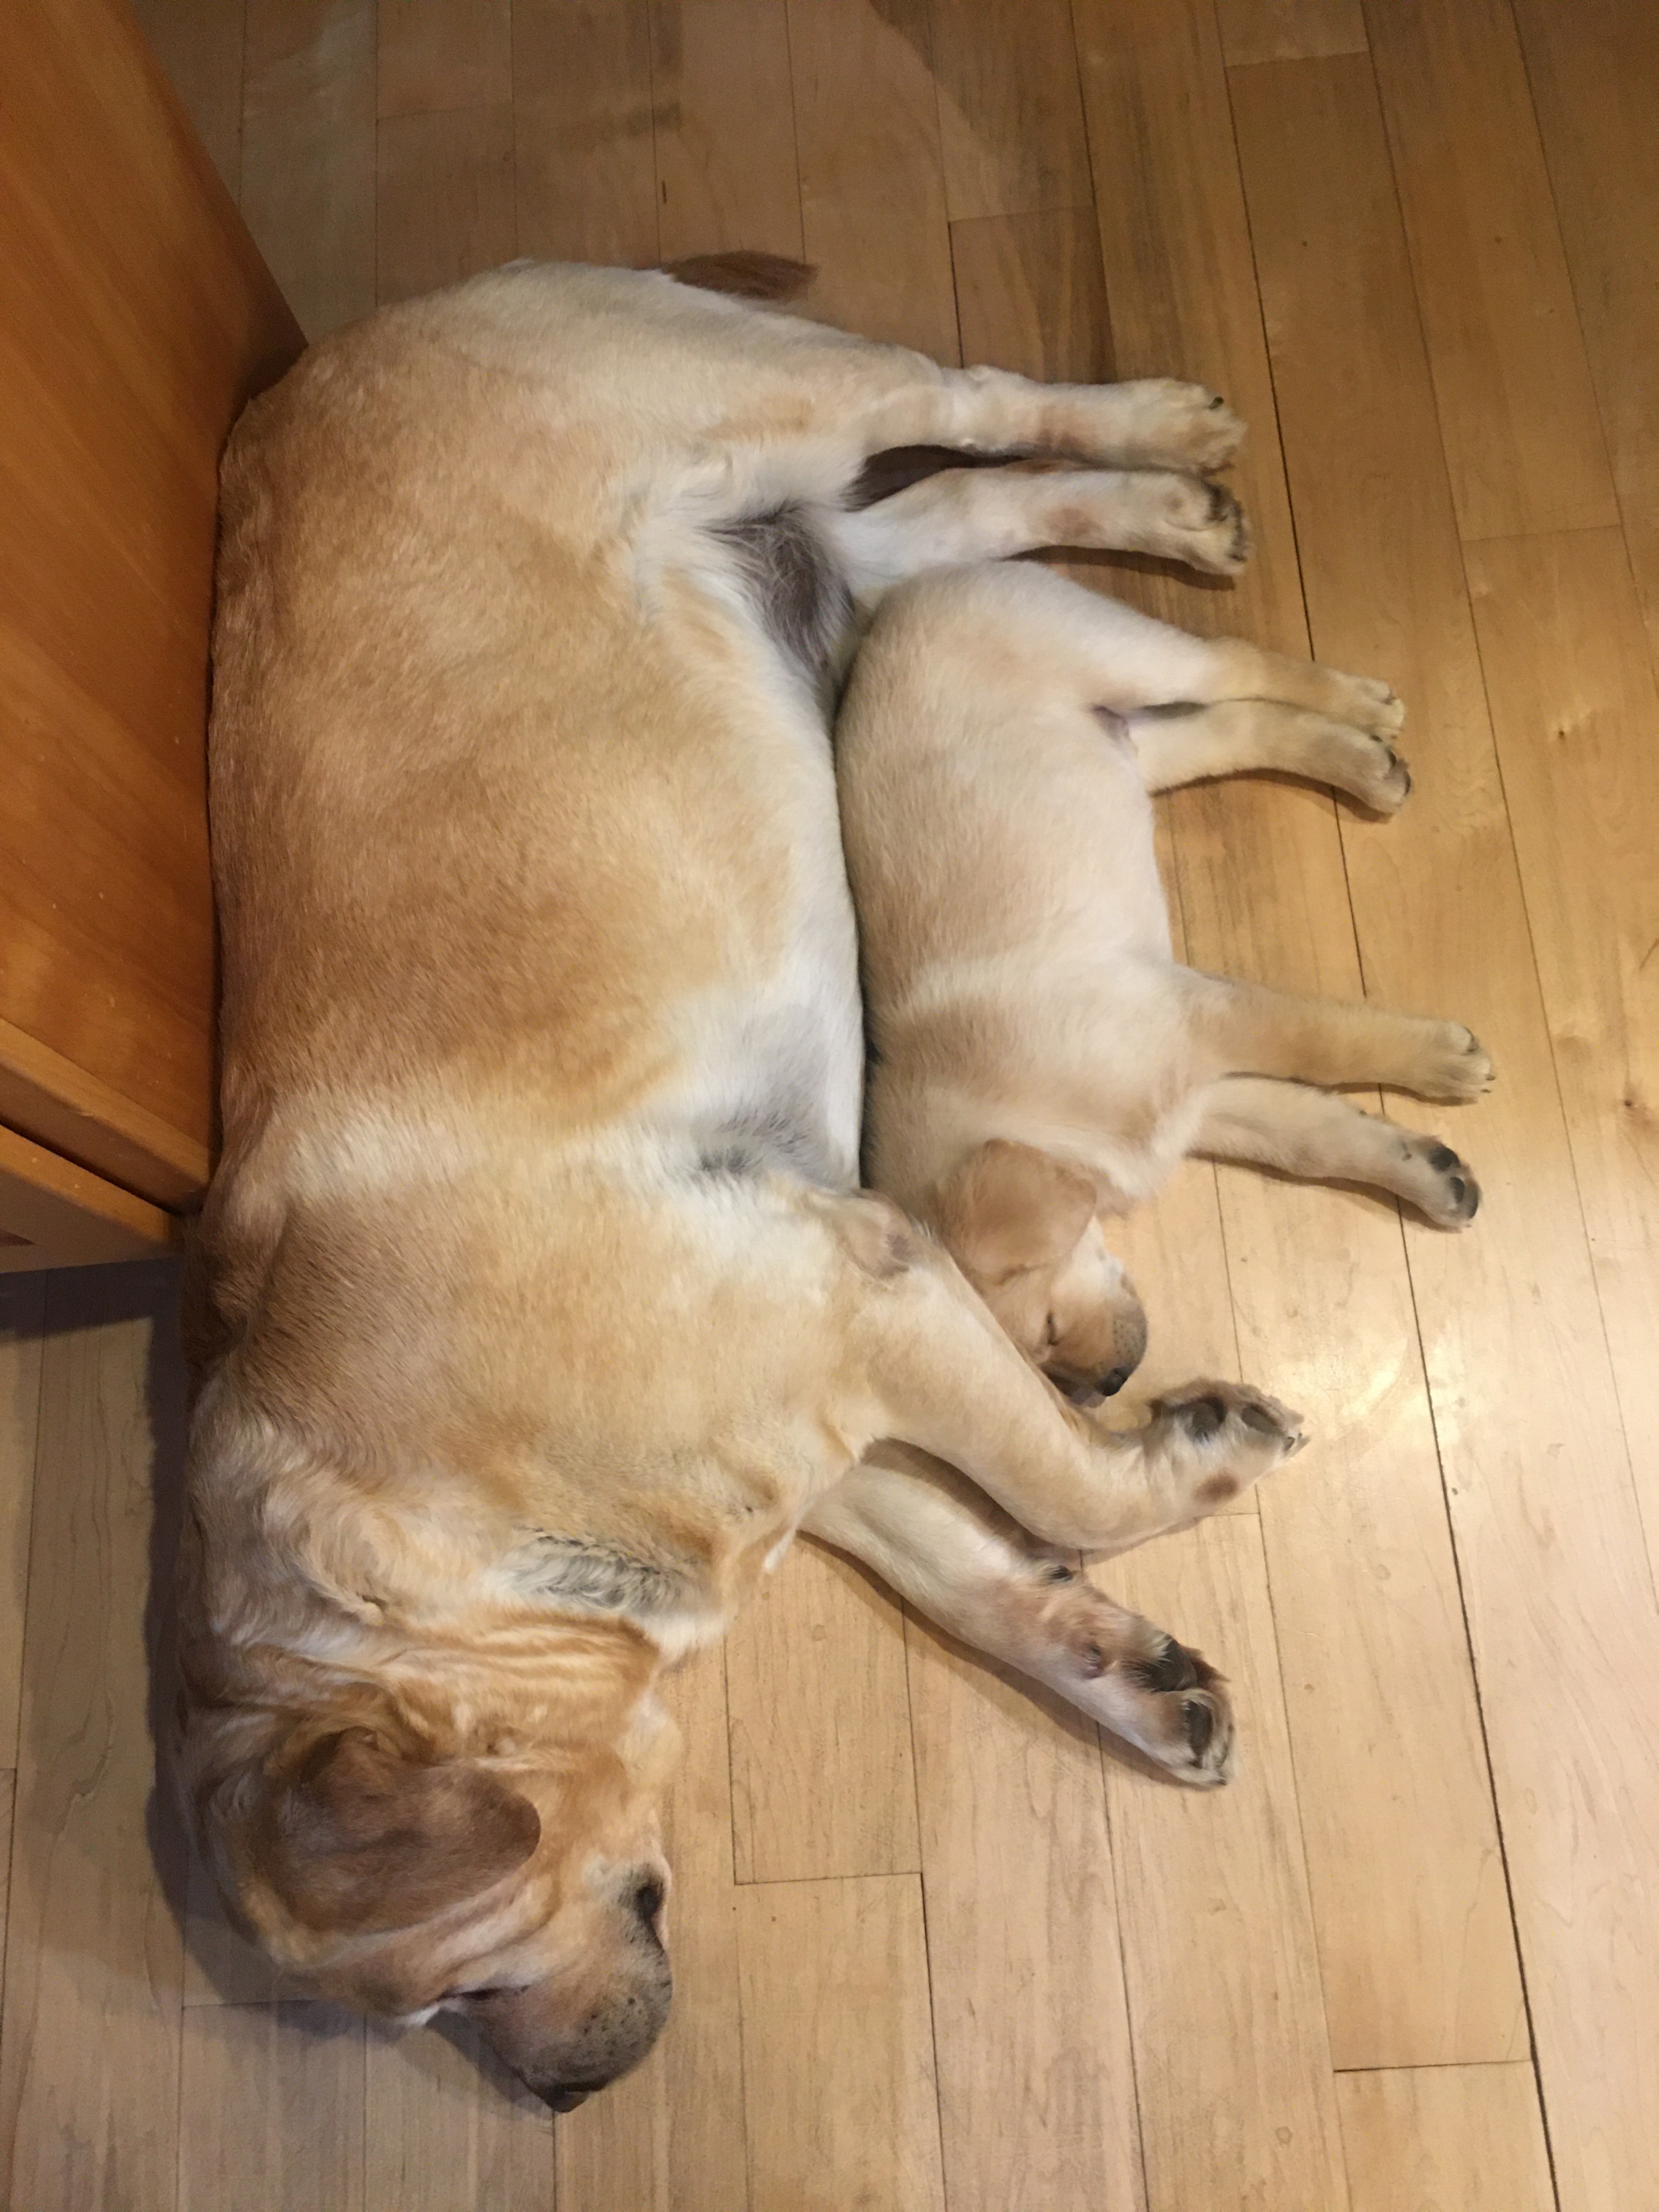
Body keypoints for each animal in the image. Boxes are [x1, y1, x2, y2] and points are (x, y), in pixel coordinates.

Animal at [180, 259, 1307, 2112]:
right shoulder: (813, 1434)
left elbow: (1065, 1489)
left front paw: (1189, 1459)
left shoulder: (865, 1304)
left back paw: (1165, 432)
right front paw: (1128, 1678)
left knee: (978, 400)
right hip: (822, 560)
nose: (563, 2098)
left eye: (455, 1989)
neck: (444, 1525)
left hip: (779, 400)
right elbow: (985, 1566)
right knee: (957, 513)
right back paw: (1166, 514)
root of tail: (349, 339)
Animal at [838, 558, 1492, 1413]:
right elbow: (1312, 1138)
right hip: (1127, 746)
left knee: (1232, 664)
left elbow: (1321, 1039)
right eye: (1046, 1376)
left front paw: (1441, 1062)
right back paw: (1363, 762)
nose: (1109, 1388)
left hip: (1115, 650)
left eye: (1048, 1328)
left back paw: (1361, 705)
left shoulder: (1201, 1018)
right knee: (1231, 730)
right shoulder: (1195, 1104)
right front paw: (1424, 1173)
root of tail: (913, 593)